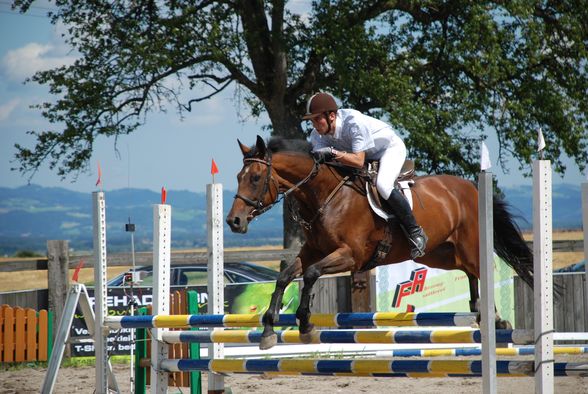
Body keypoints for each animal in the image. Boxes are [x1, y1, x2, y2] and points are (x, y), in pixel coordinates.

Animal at [226, 136, 532, 350]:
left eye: (255, 178)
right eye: (238, 177)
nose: (233, 221)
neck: (327, 196)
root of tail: (472, 187)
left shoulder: (351, 256)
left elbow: (311, 274)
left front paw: (305, 325)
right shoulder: (313, 251)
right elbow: (284, 276)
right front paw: (268, 330)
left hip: (469, 247)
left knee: (483, 270)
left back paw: (497, 320)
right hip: (440, 255)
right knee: (469, 272)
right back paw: (481, 313)